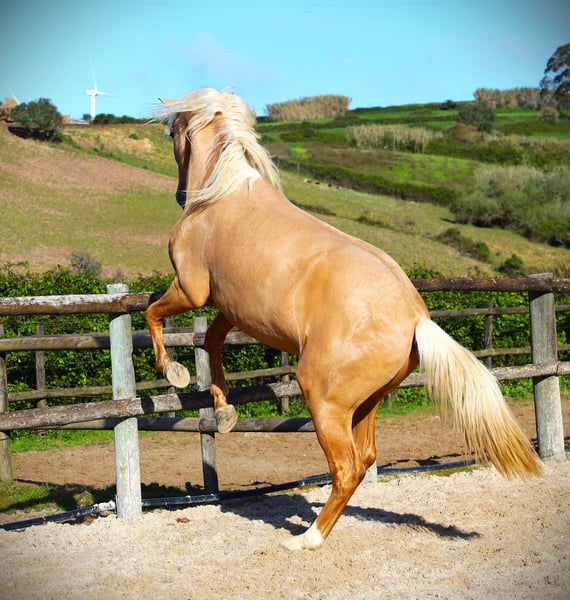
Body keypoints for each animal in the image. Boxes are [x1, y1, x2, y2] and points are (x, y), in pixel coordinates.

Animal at [145, 88, 542, 550]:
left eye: (173, 132)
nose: (179, 195)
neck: (220, 197)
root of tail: (415, 318)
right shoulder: (232, 307)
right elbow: (210, 341)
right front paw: (224, 411)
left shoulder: (192, 290)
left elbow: (153, 313)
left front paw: (171, 372)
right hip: (368, 401)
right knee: (366, 458)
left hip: (324, 399)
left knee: (347, 467)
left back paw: (306, 539)